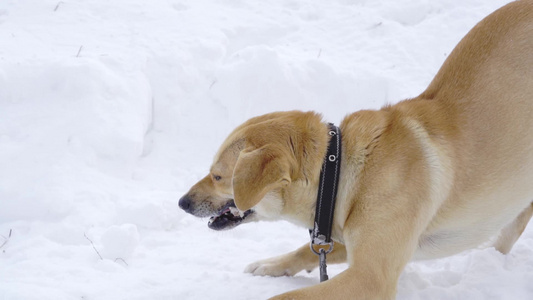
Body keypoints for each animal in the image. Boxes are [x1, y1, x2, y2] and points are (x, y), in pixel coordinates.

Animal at [179, 1, 532, 298]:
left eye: (218, 176)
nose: (183, 202)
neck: (338, 172)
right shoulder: (349, 241)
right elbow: (306, 250)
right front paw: (271, 264)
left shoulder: (370, 275)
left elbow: (288, 296)